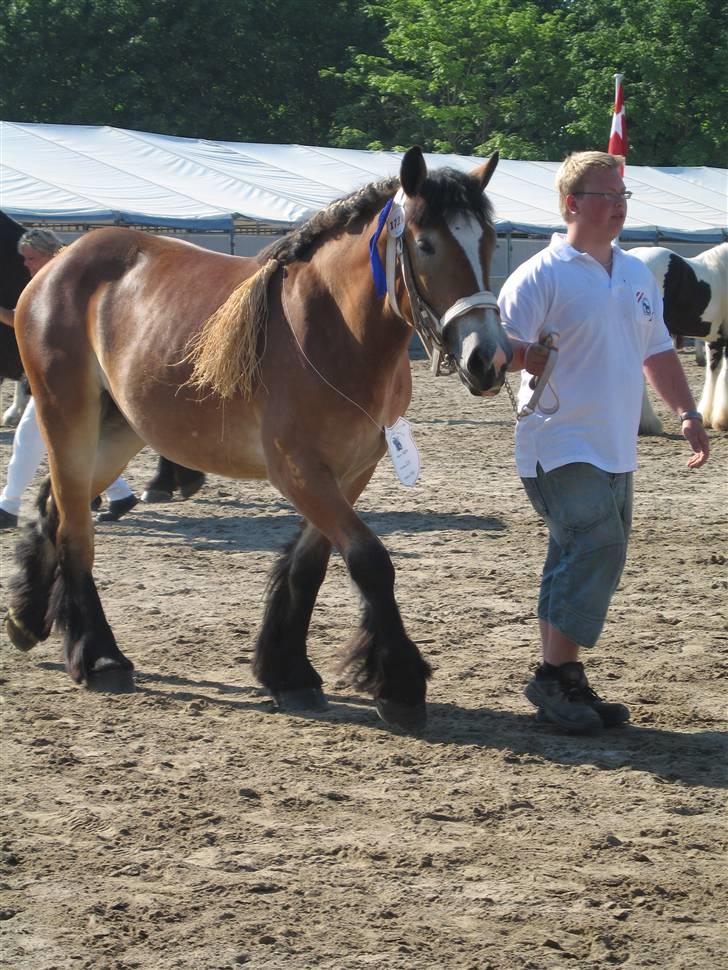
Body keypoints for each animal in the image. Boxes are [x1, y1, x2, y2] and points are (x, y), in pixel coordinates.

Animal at [5, 147, 510, 728]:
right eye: (426, 244)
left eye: (487, 242)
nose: (487, 359)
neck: (334, 330)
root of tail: (60, 265)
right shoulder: (298, 470)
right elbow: (370, 560)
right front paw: (400, 683)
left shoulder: (351, 470)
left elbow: (309, 566)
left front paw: (288, 672)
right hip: (67, 416)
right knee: (74, 530)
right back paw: (99, 656)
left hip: (118, 430)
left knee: (53, 509)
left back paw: (27, 616)